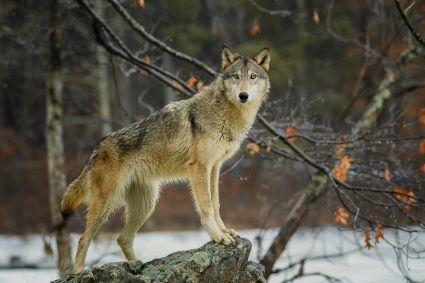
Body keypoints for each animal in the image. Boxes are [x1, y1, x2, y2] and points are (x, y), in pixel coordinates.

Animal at [60, 46, 268, 272]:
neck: (225, 112)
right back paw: (78, 273)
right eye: (236, 77)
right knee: (83, 239)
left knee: (122, 238)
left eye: (253, 77)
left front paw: (224, 231)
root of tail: (96, 148)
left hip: (146, 205)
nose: (243, 95)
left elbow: (216, 203)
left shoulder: (214, 167)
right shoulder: (199, 167)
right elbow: (207, 206)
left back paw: (137, 266)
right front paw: (217, 237)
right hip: (107, 204)